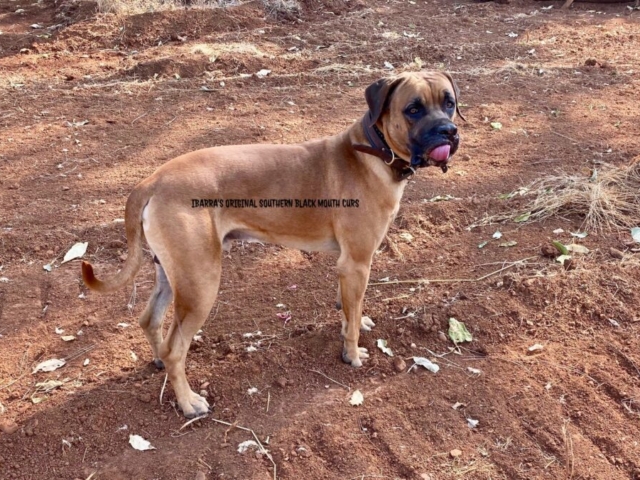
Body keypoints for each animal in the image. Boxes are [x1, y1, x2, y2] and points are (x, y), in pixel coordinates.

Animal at [84, 70, 464, 416]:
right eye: (413, 109)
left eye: (449, 103)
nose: (448, 131)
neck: (372, 150)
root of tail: (152, 180)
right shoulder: (356, 263)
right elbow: (352, 322)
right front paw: (352, 354)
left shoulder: (348, 268)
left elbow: (349, 310)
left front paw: (354, 323)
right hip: (200, 282)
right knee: (175, 348)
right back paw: (189, 402)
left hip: (171, 273)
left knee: (150, 321)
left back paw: (159, 363)